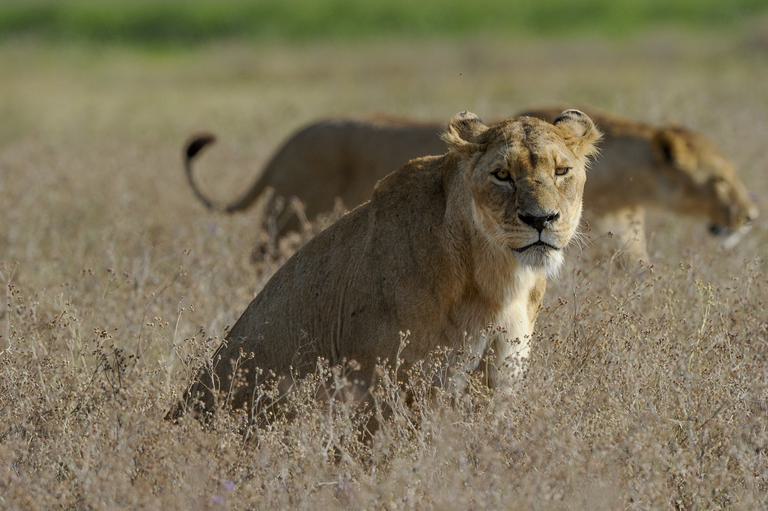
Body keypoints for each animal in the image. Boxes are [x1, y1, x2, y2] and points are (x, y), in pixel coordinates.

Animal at [175, 110, 602, 418]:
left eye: (561, 171)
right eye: (502, 175)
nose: (541, 220)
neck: (497, 277)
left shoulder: (499, 378)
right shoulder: (390, 385)